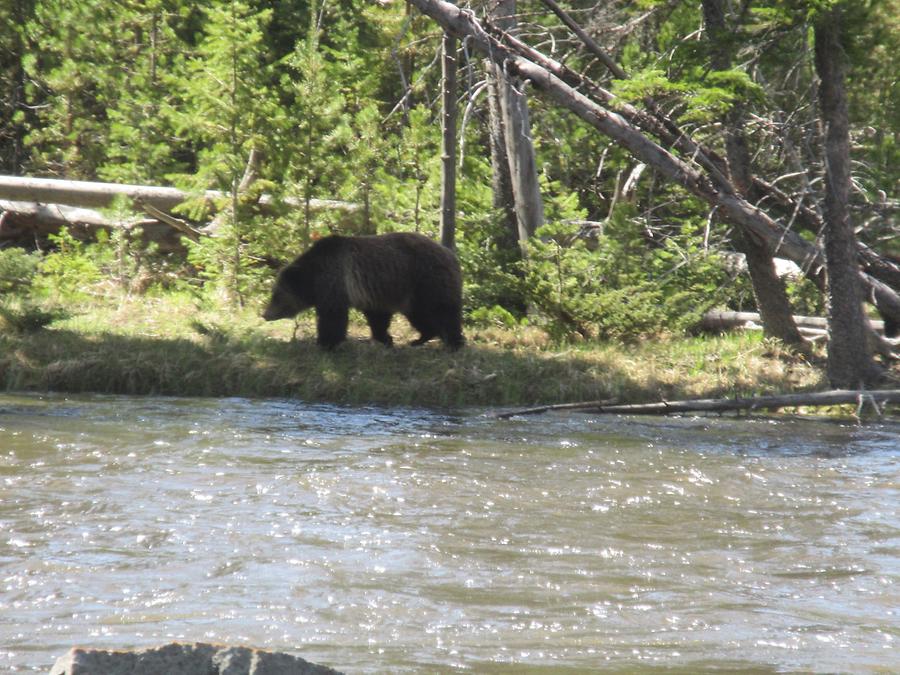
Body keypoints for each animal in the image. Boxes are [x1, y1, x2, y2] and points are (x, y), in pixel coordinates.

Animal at [262, 234, 464, 352]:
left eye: (276, 295)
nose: (265, 314)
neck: (314, 278)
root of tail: (451, 254)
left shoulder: (336, 283)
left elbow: (333, 319)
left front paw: (324, 343)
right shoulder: (373, 293)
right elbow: (378, 318)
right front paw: (386, 339)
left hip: (427, 279)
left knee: (443, 311)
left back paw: (454, 343)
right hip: (413, 292)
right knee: (420, 315)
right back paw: (420, 339)